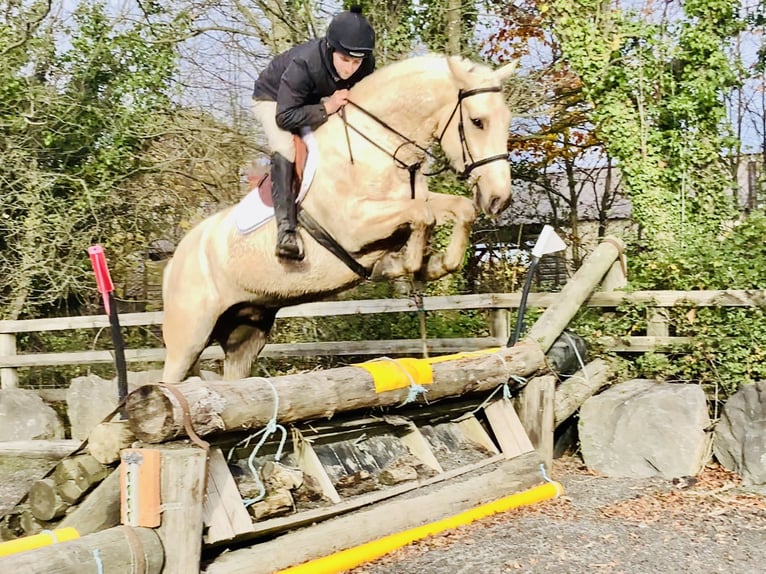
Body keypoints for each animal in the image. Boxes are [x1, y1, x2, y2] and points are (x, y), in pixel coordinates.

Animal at [161, 55, 516, 383]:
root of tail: (173, 261)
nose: (499, 199)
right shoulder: (355, 226)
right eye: (478, 121)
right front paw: (407, 263)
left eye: (507, 119)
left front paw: (434, 264)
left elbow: (458, 209)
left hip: (245, 332)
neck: (379, 146)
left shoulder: (411, 201)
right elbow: (422, 216)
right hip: (189, 338)